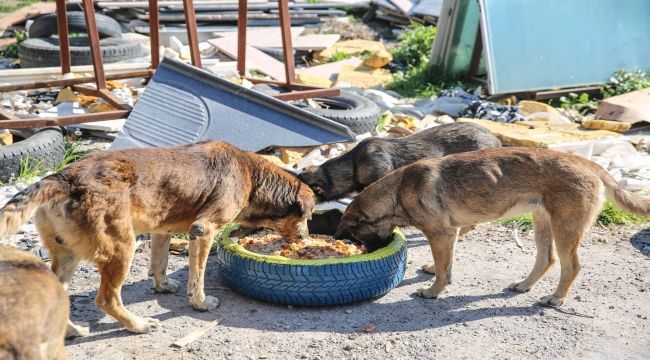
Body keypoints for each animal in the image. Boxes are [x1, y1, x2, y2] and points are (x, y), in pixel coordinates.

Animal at [0, 141, 314, 334]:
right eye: (308, 216)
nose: (304, 239)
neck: (252, 174)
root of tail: (63, 177)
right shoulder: (203, 231)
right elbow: (197, 277)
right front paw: (200, 303)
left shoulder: (162, 230)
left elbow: (160, 263)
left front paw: (162, 286)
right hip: (121, 249)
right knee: (107, 300)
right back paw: (138, 325)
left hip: (68, 255)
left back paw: (73, 331)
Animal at [334, 146, 648, 306]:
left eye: (358, 238)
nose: (368, 252)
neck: (398, 190)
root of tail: (589, 163)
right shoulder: (450, 233)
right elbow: (446, 264)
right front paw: (437, 275)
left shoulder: (440, 234)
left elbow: (443, 269)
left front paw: (434, 291)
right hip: (543, 224)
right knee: (546, 259)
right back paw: (524, 285)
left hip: (565, 229)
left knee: (571, 266)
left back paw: (556, 298)